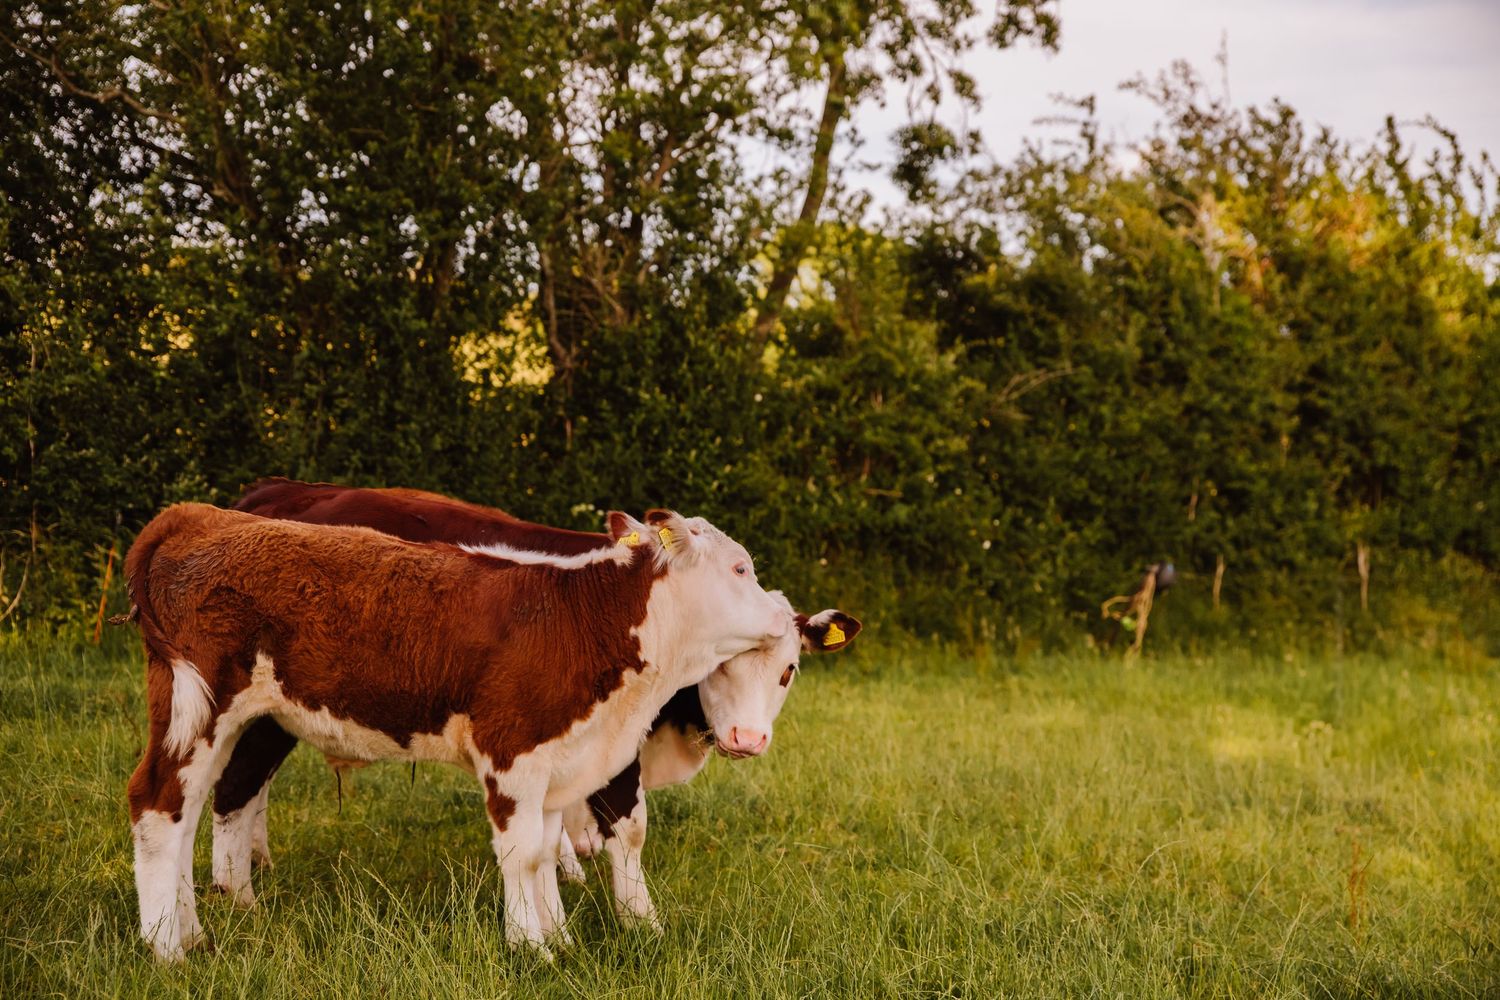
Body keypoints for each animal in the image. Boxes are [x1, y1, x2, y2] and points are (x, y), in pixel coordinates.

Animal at [124, 502, 789, 961]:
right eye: (741, 568)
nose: (785, 614)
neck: (579, 618)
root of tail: (201, 515)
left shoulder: (559, 758)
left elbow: (546, 850)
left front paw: (561, 939)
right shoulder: (512, 751)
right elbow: (523, 855)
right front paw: (532, 949)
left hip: (219, 722)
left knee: (186, 813)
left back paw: (193, 931)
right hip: (196, 709)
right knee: (157, 806)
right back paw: (167, 948)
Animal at [211, 479, 862, 926]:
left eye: (788, 671)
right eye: (723, 665)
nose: (747, 740)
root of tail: (279, 490)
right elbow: (626, 828)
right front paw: (640, 921)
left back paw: (257, 863)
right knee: (235, 787)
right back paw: (238, 897)